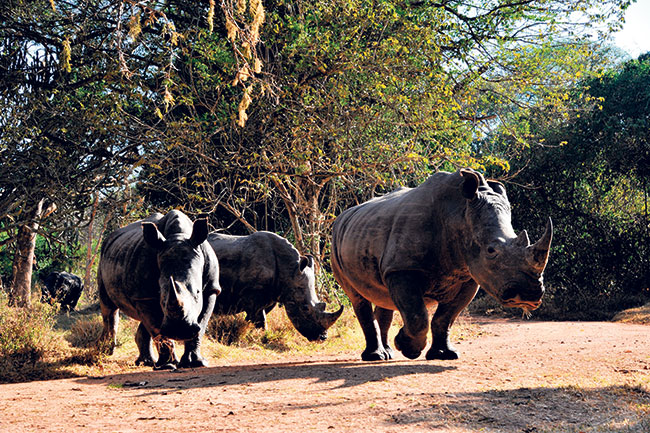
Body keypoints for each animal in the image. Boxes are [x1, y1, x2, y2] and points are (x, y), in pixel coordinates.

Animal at [97, 209, 220, 368]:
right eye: (161, 294)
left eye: (198, 293)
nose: (179, 330)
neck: (178, 236)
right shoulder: (144, 295)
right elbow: (156, 328)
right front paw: (168, 365)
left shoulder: (211, 289)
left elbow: (201, 324)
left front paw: (196, 363)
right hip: (103, 261)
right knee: (109, 308)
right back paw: (105, 352)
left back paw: (146, 362)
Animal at [208, 231, 342, 340]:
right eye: (305, 308)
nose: (322, 338)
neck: (289, 271)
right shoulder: (252, 296)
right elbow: (260, 319)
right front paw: (261, 335)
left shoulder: (270, 296)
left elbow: (256, 317)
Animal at [332, 169, 548, 362]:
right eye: (491, 251)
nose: (529, 295)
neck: (458, 214)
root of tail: (342, 216)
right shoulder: (402, 268)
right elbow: (418, 316)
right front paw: (408, 348)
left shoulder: (468, 276)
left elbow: (445, 317)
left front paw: (443, 355)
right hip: (338, 244)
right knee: (358, 298)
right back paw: (375, 356)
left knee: (383, 297)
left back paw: (387, 353)